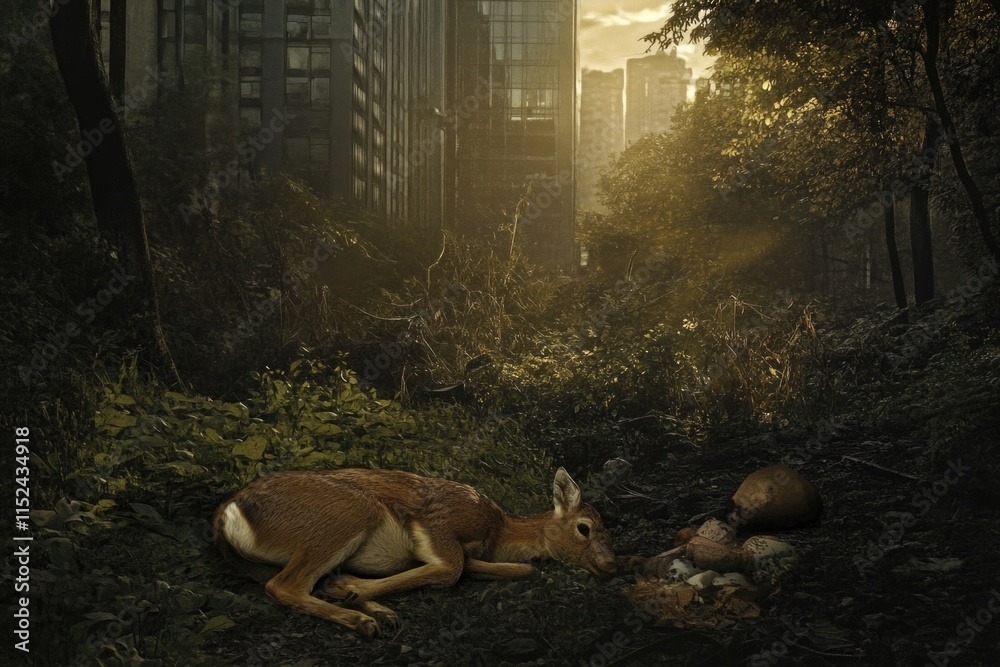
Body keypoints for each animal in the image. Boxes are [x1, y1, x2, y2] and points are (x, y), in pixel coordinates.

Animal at [213, 467, 616, 638]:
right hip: (348, 513)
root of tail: (228, 513)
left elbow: (522, 569)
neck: (499, 531)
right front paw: (353, 588)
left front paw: (351, 589)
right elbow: (451, 568)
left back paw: (370, 607)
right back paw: (362, 618)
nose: (610, 566)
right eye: (584, 528)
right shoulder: (437, 520)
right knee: (285, 586)